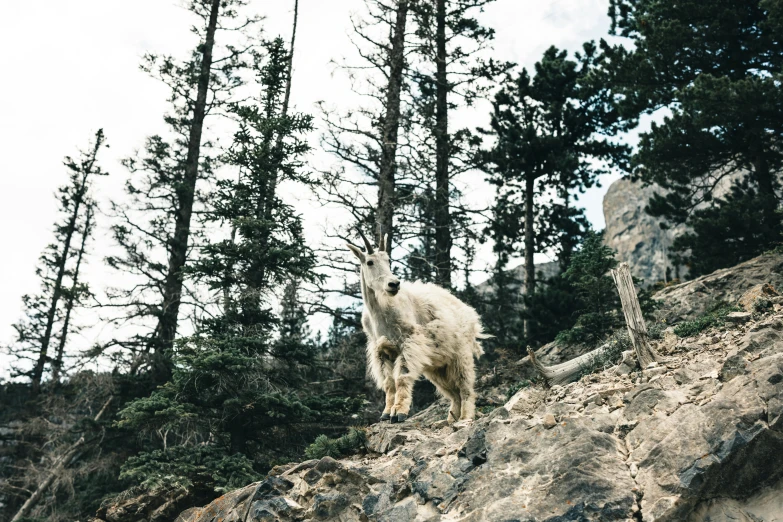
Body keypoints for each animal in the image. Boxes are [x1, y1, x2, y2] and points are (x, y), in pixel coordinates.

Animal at [346, 230, 486, 420]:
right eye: (370, 262)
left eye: (388, 260)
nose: (394, 284)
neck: (380, 312)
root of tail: (469, 312)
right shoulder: (381, 351)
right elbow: (389, 383)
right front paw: (386, 413)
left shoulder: (409, 342)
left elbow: (402, 378)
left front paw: (399, 413)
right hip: (437, 366)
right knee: (453, 393)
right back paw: (450, 419)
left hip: (460, 354)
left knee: (465, 387)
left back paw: (465, 418)